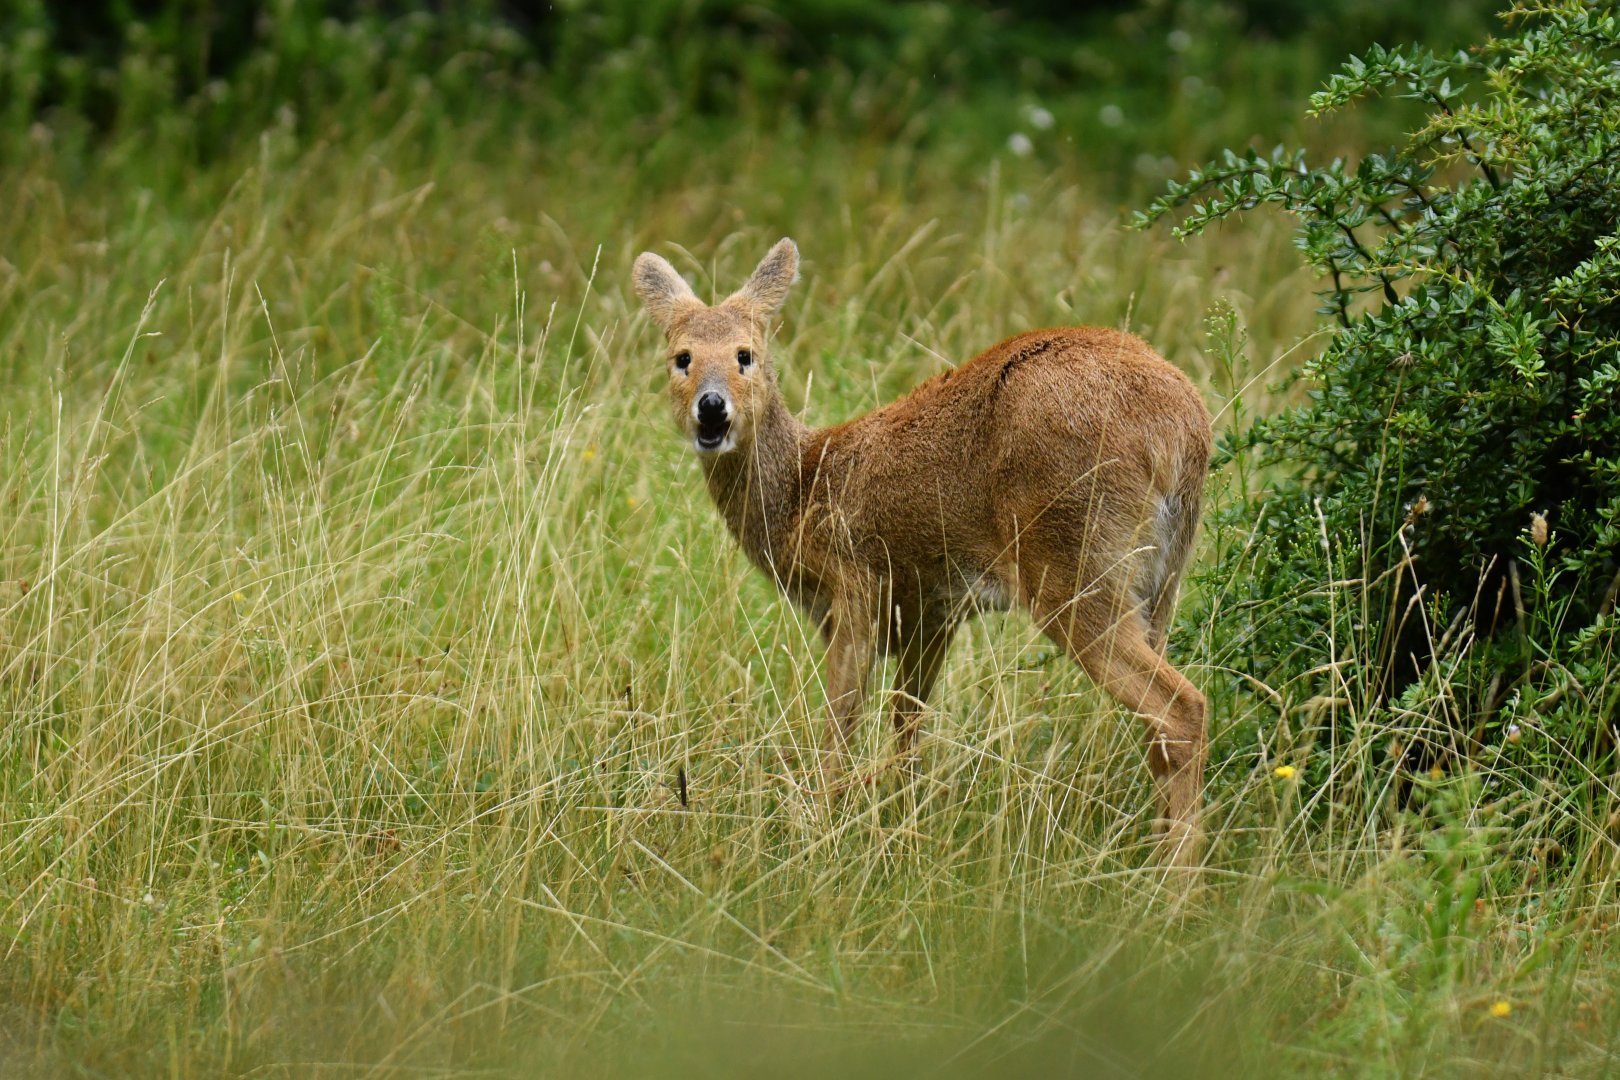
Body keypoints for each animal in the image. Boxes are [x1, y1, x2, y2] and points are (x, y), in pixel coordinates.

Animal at [632, 237, 1213, 864]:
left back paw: (1175, 880)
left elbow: (841, 726)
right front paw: (901, 824)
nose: (712, 407)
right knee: (1160, 730)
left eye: (746, 354)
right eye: (682, 357)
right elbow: (906, 728)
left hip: (1074, 566)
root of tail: (1184, 427)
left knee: (1181, 709)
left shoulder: (857, 587)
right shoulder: (931, 614)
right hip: (1160, 581)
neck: (804, 492)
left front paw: (821, 828)